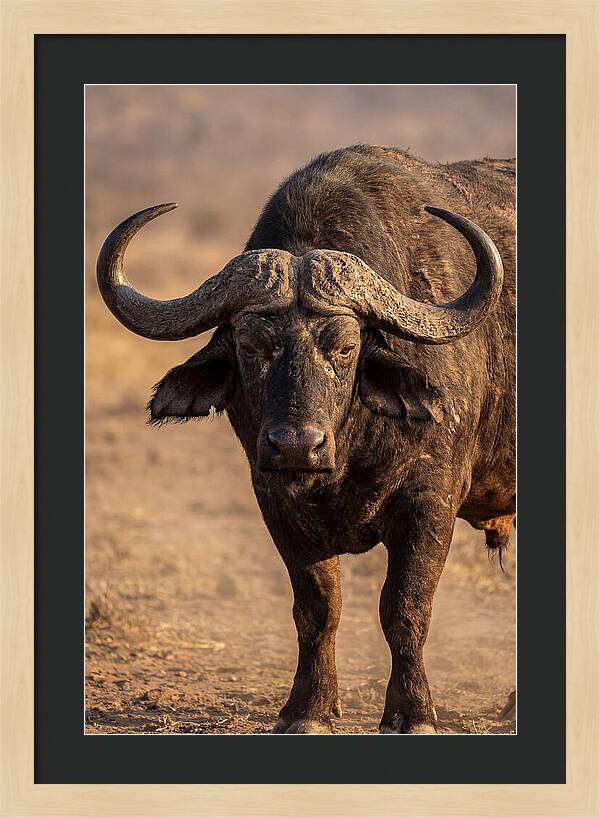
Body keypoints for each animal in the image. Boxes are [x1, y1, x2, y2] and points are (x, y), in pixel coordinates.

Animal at [97, 144, 515, 734]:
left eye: (345, 346)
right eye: (251, 346)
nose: (296, 445)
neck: (347, 452)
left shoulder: (430, 502)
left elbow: (405, 607)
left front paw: (413, 713)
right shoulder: (275, 501)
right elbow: (318, 610)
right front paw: (309, 709)